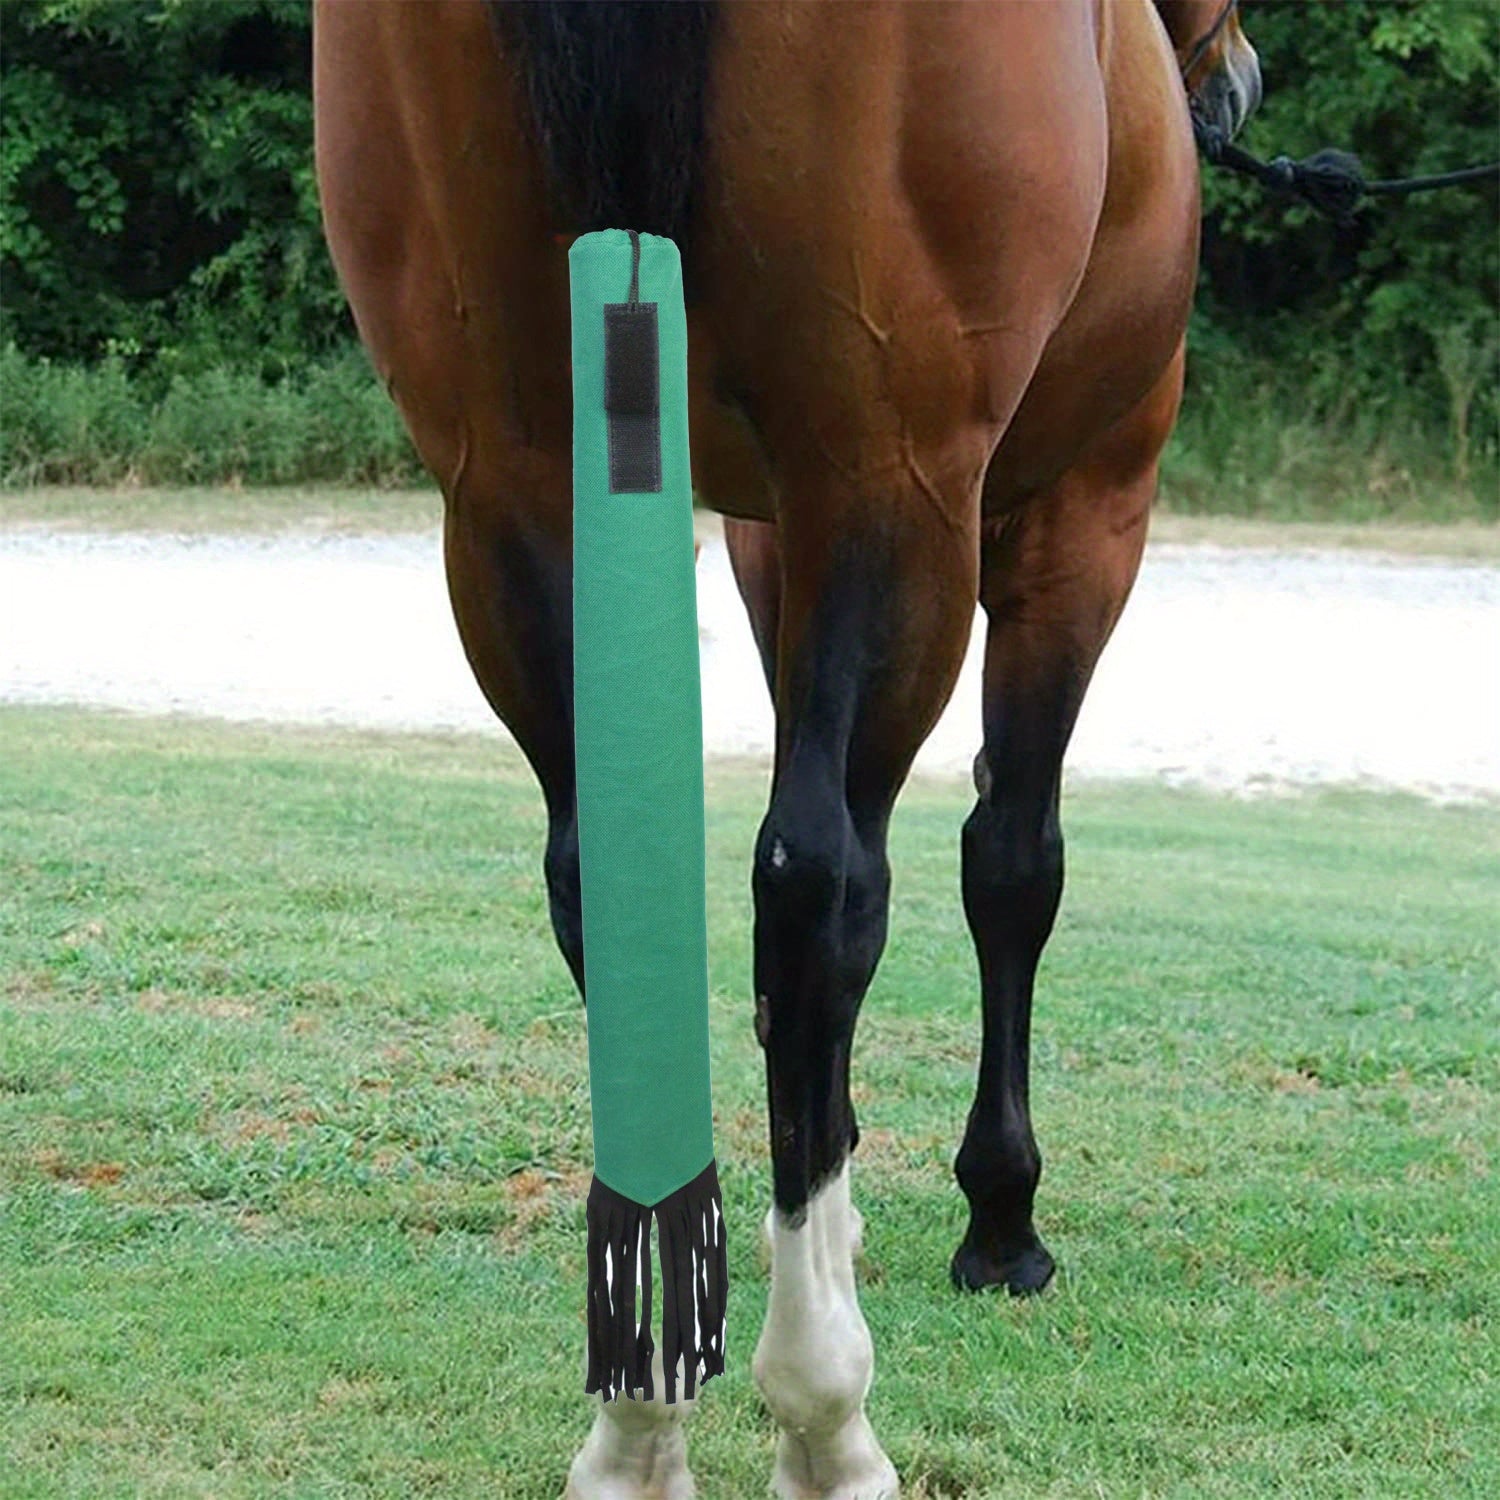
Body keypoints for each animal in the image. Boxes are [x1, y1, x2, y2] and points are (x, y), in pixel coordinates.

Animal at [312, 1, 1260, 1494]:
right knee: (822, 891)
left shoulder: (759, 531)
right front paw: (1000, 1216)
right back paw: (824, 1405)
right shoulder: (1084, 509)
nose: (1231, 85)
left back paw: (641, 1411)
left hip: (510, 486)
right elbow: (1010, 863)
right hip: (893, 478)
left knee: (614, 881)